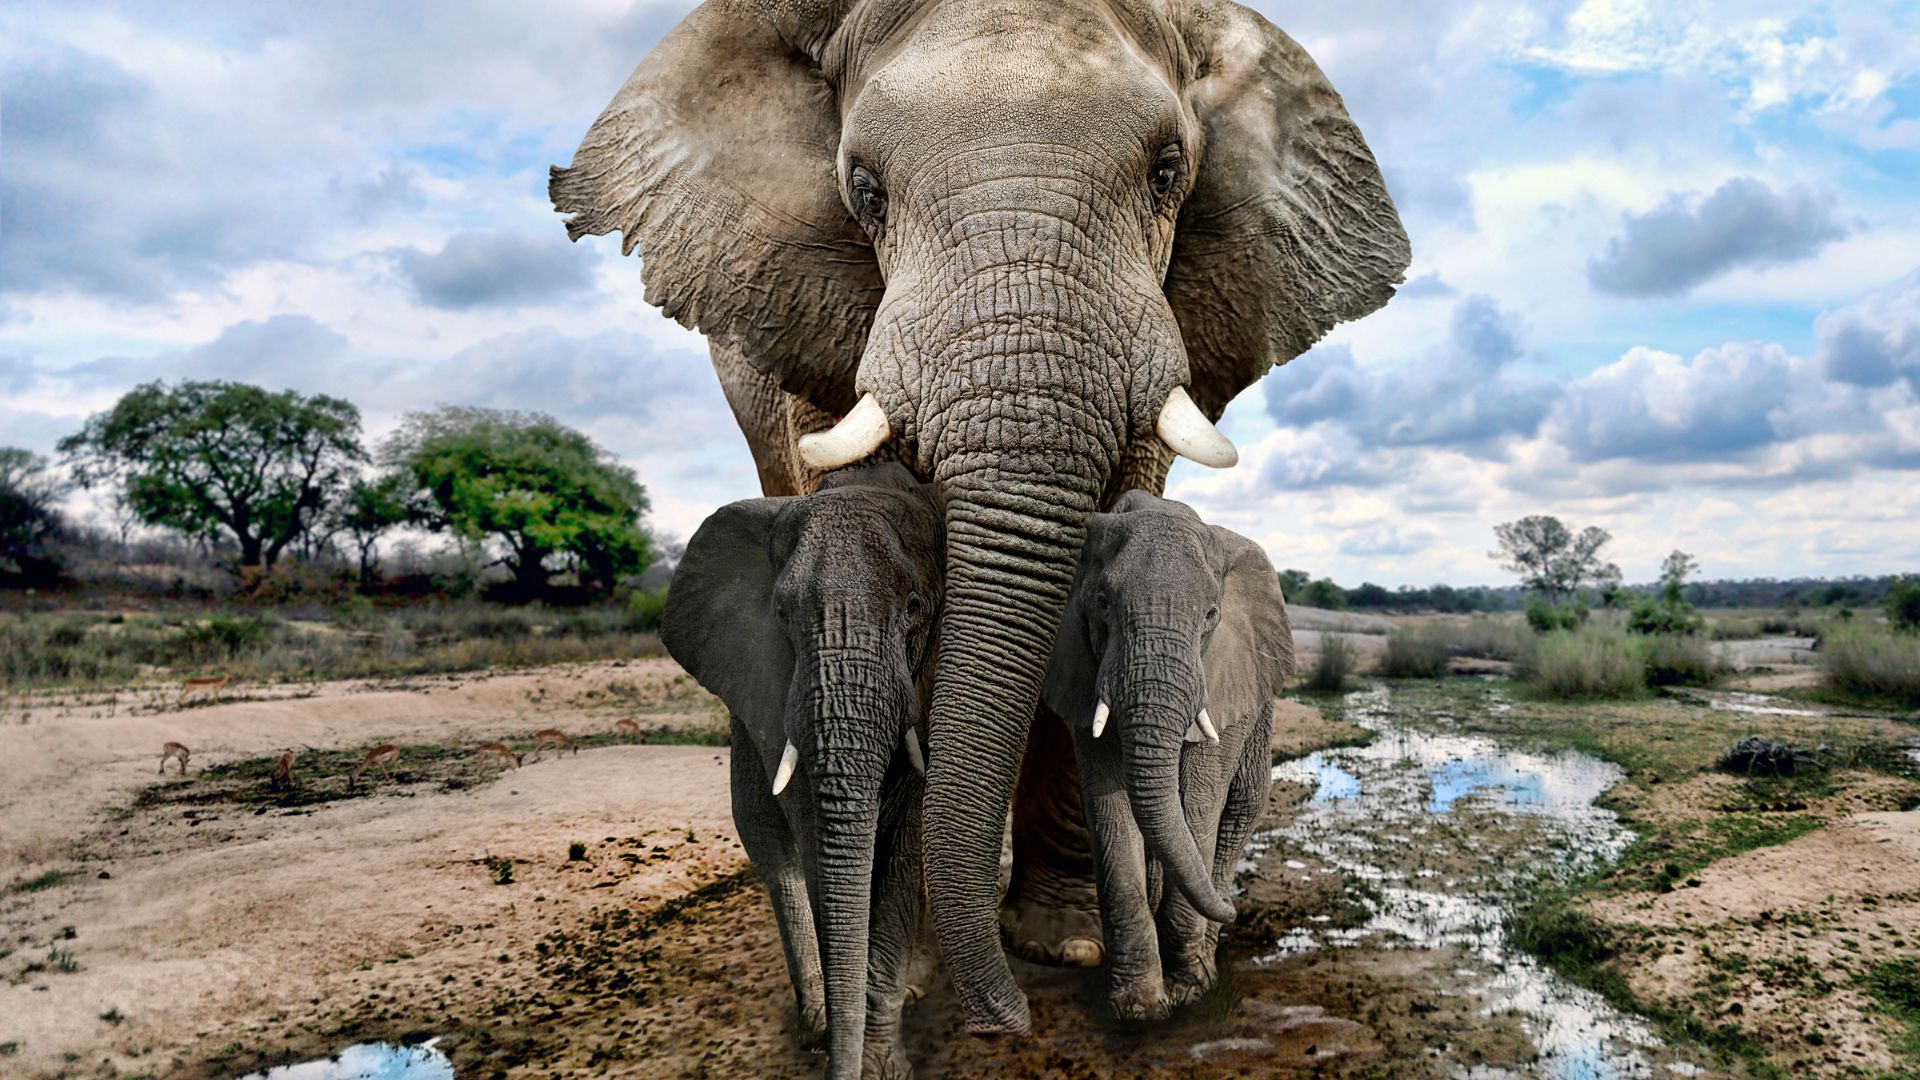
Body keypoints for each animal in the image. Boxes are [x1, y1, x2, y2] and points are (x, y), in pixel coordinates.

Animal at [662, 463, 940, 1079]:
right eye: (782, 614)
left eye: (914, 608)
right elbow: (812, 833)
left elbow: (905, 841)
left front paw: (881, 1064)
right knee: (772, 849)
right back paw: (816, 1025)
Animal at [1042, 490, 1293, 1019]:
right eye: (1102, 603)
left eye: (1212, 614)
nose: (1235, 911)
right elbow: (1109, 808)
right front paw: (1137, 1008)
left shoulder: (1222, 679)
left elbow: (1198, 803)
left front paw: (1189, 989)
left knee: (1240, 809)